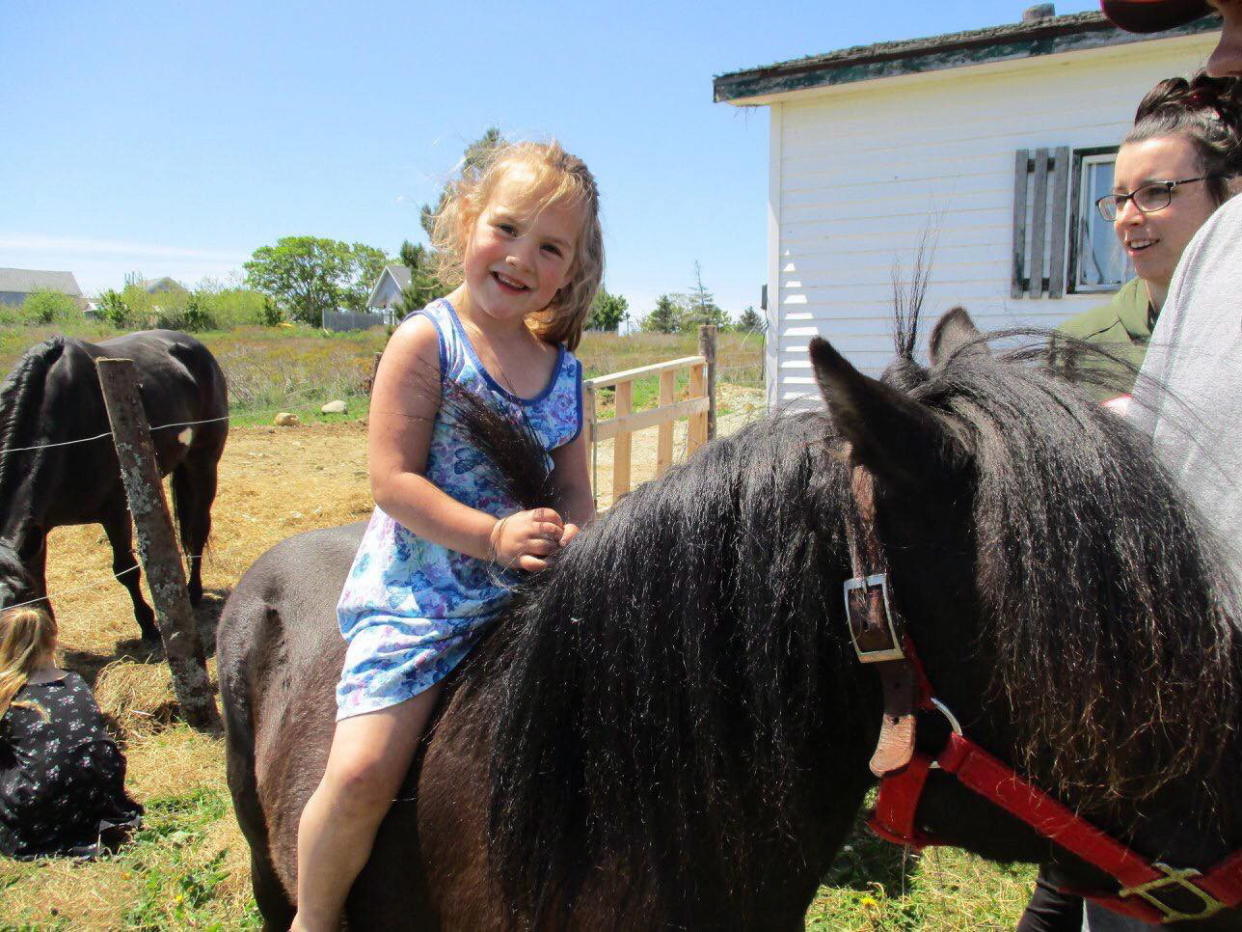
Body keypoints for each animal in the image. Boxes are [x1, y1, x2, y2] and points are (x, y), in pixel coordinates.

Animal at [0, 328, 228, 641]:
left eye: (14, 599)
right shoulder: (37, 527)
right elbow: (39, 577)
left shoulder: (116, 509)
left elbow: (125, 569)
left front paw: (148, 625)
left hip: (203, 463)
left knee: (197, 530)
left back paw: (193, 592)